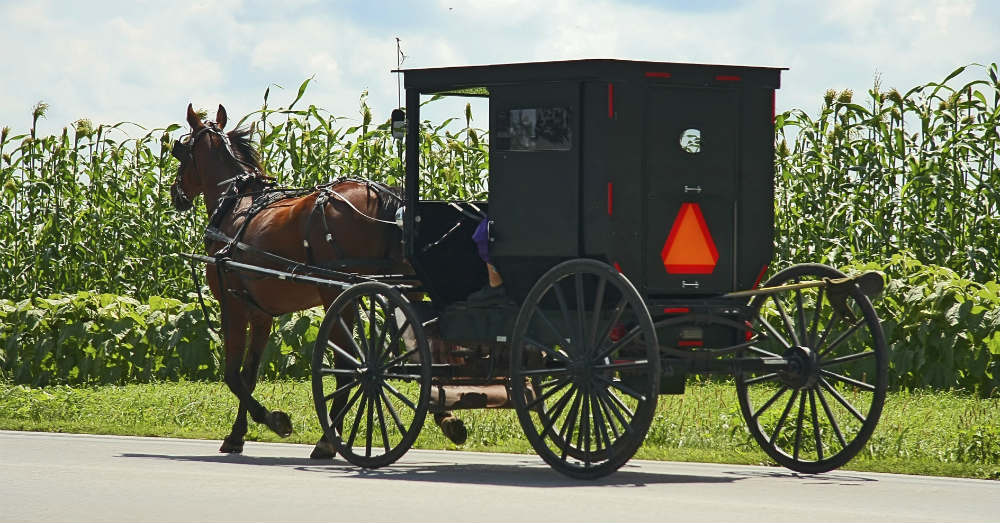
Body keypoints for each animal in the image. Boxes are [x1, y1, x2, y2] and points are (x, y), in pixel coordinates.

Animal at [170, 103, 466, 458]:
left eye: (180, 150)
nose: (175, 194)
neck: (236, 207)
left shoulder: (234, 305)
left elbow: (232, 374)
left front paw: (274, 420)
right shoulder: (261, 314)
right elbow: (249, 374)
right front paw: (237, 435)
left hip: (335, 294)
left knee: (349, 367)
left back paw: (328, 439)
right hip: (401, 291)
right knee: (422, 350)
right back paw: (446, 418)